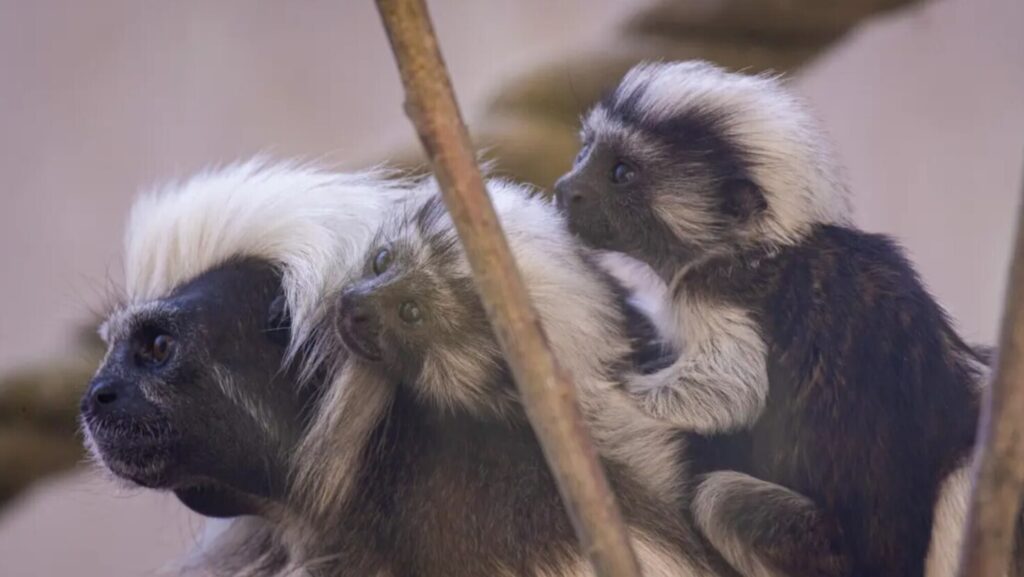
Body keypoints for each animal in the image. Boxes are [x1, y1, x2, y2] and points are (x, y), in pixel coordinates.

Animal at [553, 60, 988, 577]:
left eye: (622, 173)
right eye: (586, 152)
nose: (566, 190)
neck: (762, 245)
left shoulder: (712, 289)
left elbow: (731, 391)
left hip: (824, 552)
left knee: (722, 499)